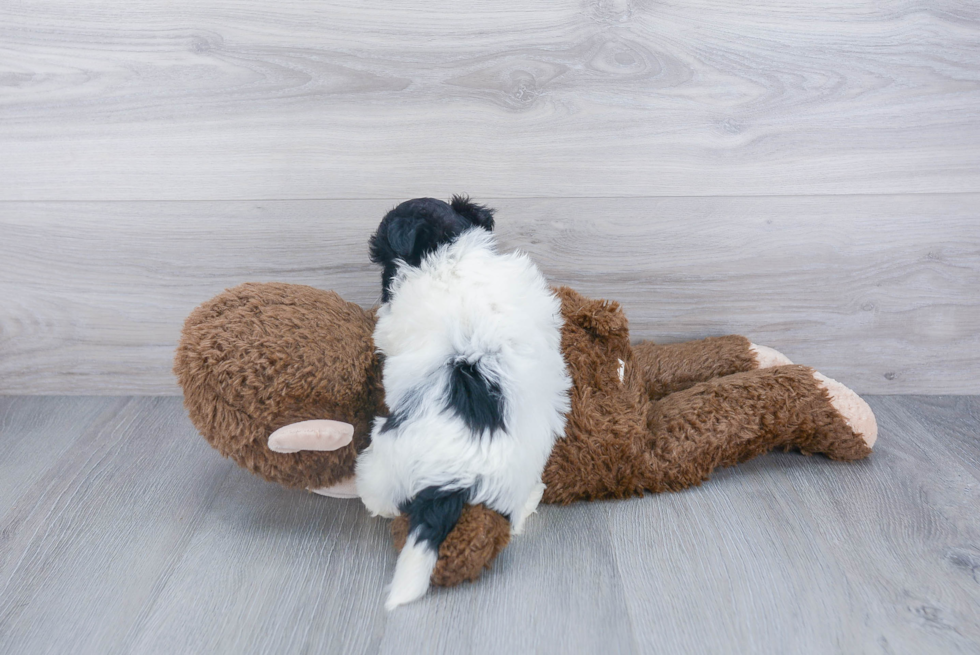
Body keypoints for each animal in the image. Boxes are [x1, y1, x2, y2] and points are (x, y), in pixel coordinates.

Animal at [358, 195, 576, 608]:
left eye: (381, 257)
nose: (381, 290)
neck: (450, 255)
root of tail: (453, 482)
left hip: (382, 456)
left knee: (380, 493)